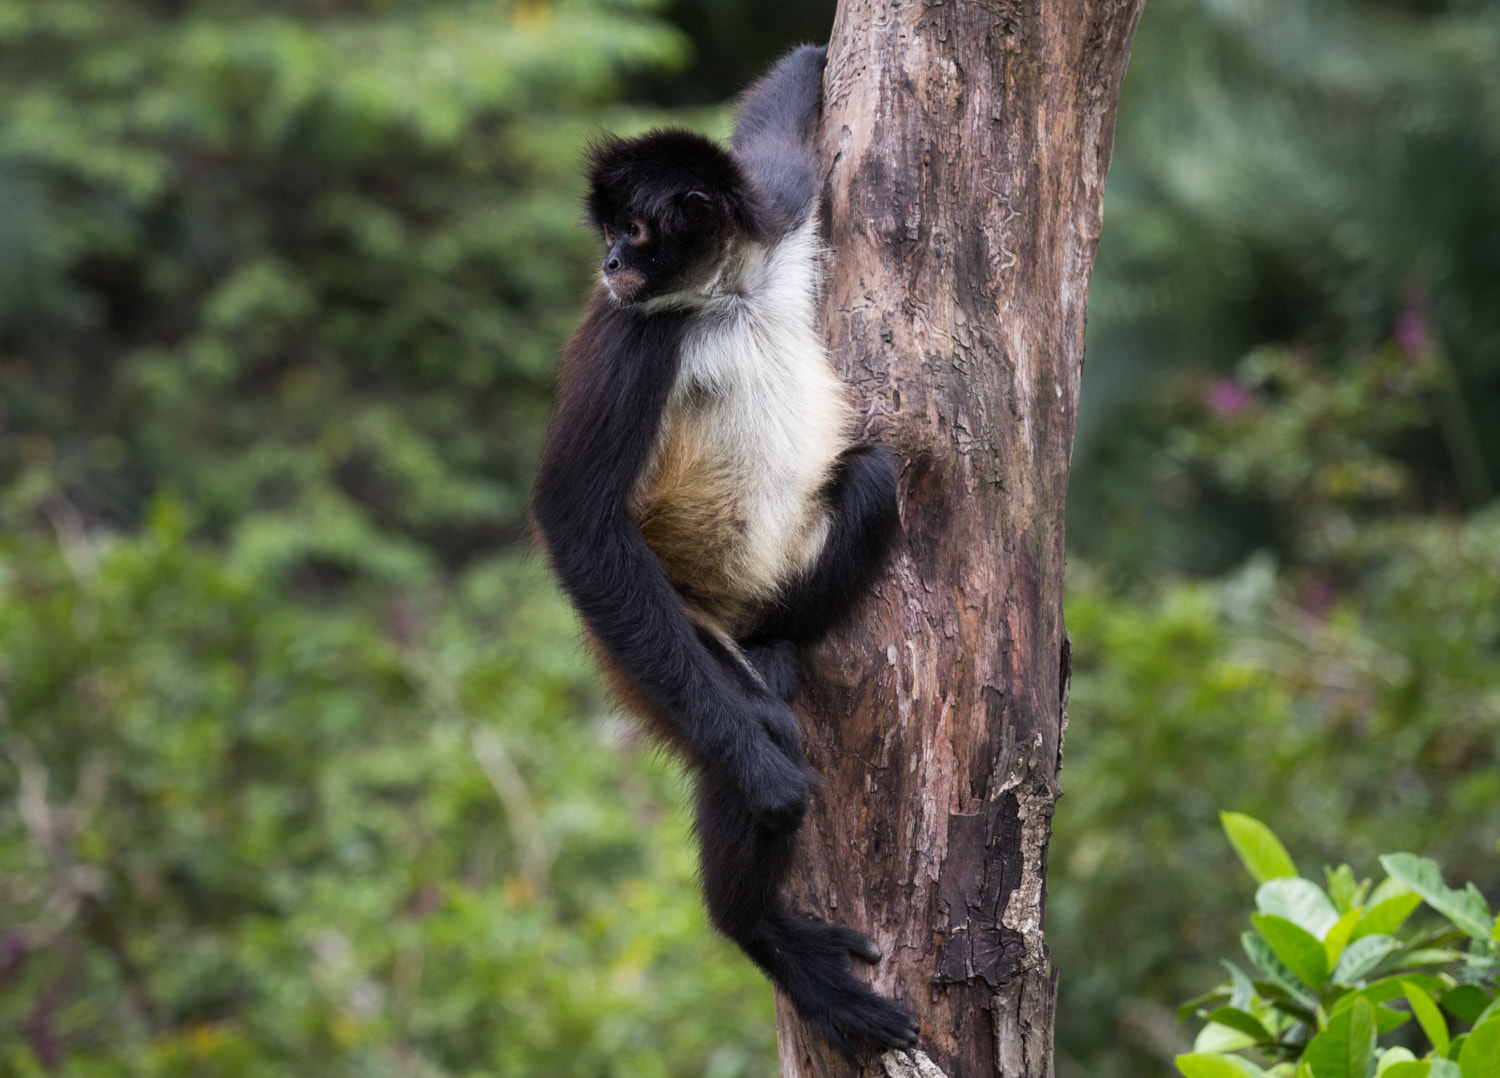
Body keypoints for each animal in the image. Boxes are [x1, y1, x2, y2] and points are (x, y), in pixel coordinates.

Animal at [530, 45, 917, 1057]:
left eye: (633, 229)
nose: (608, 262)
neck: (720, 297)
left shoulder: (774, 217)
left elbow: (778, 132)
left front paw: (811, 59)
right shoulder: (632, 334)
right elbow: (575, 522)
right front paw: (765, 776)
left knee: (873, 477)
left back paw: (779, 639)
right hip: (653, 637)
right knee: (752, 726)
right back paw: (757, 932)